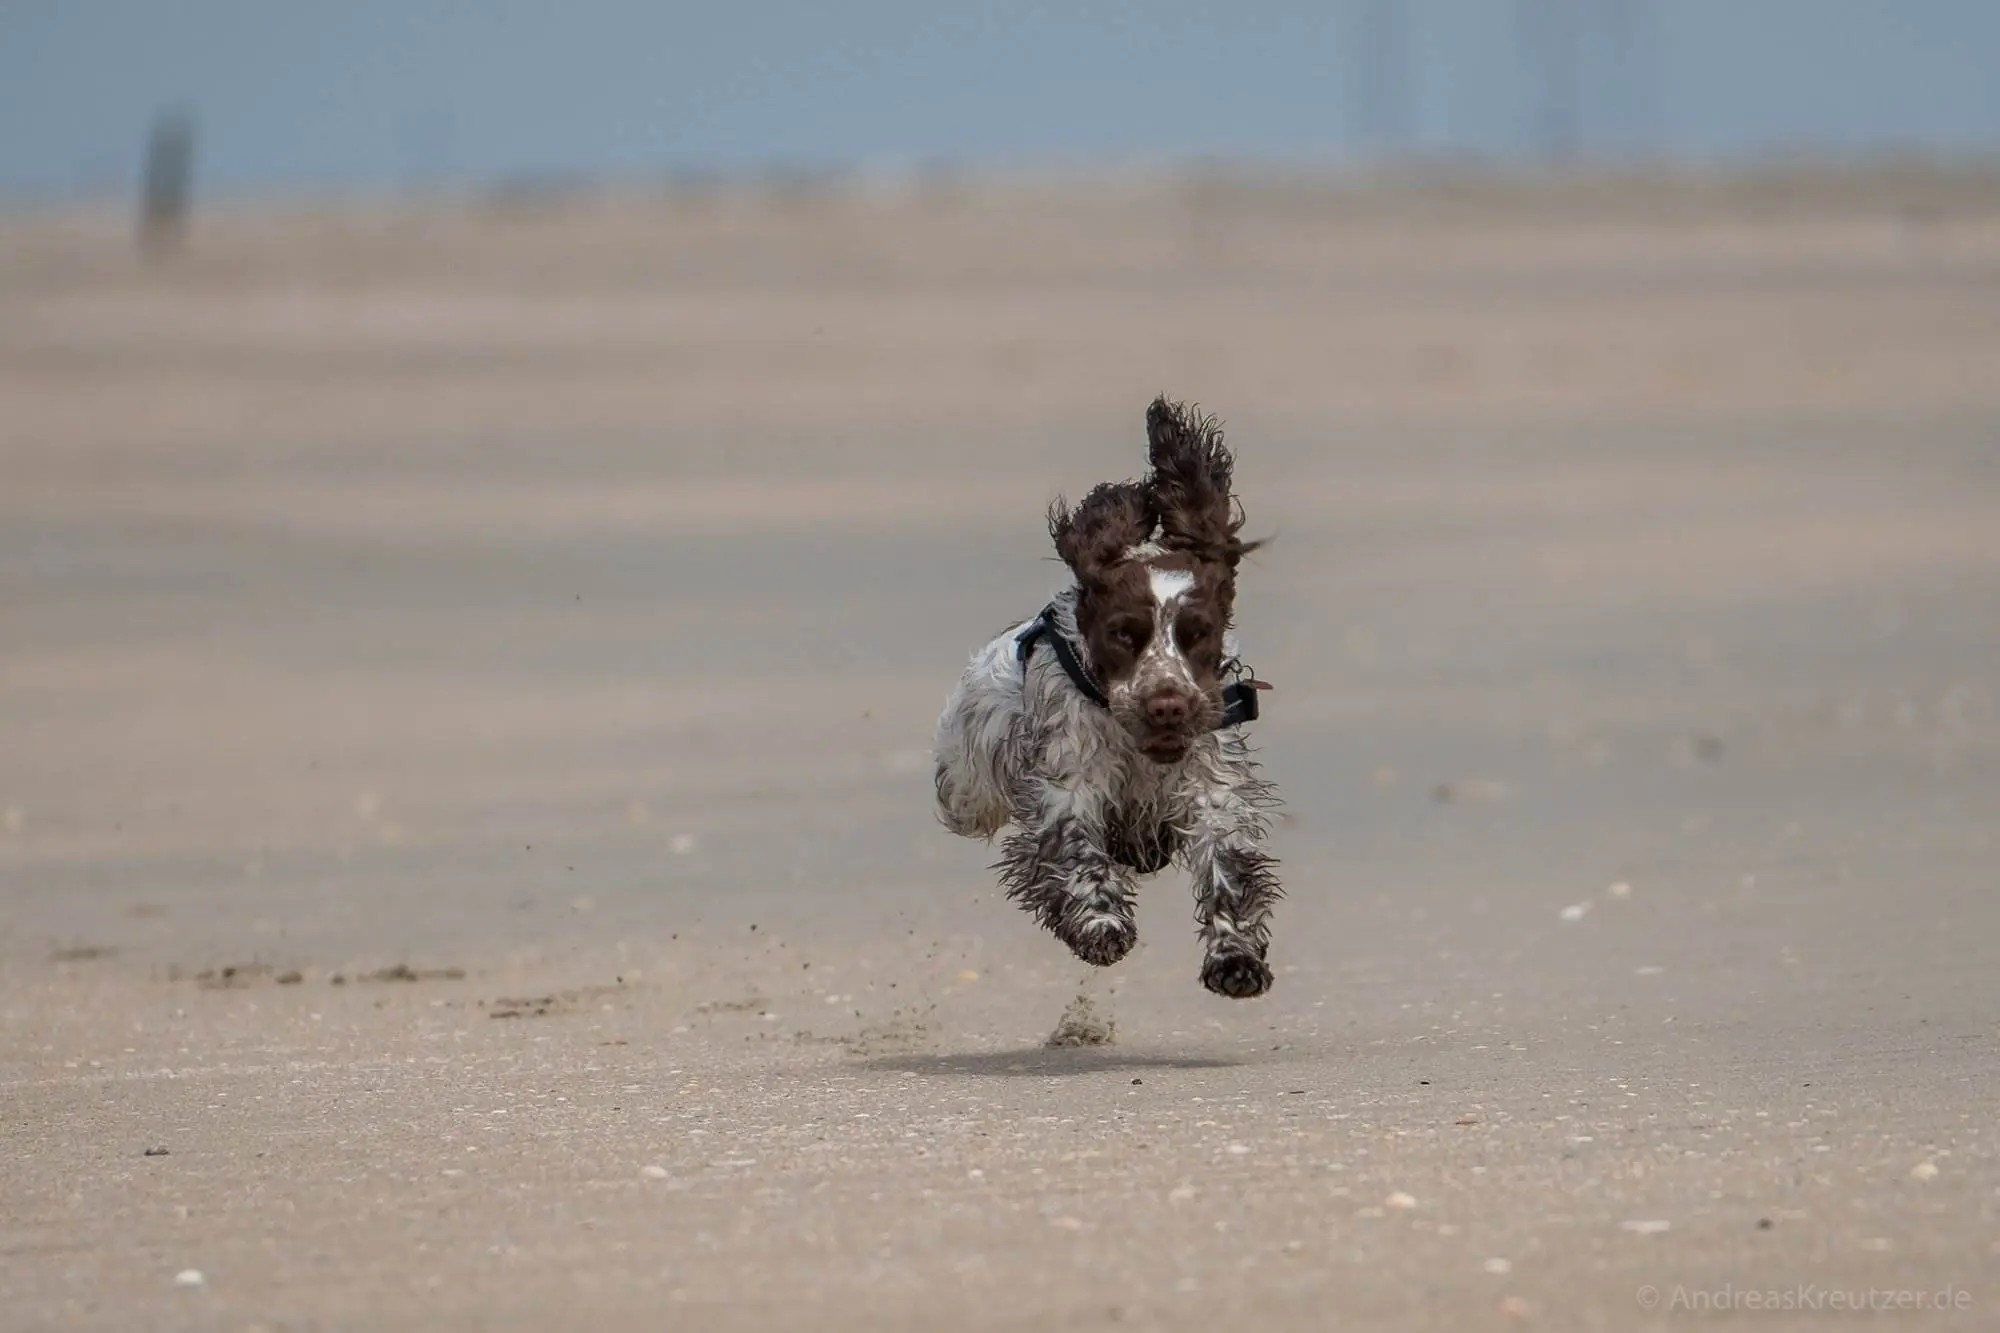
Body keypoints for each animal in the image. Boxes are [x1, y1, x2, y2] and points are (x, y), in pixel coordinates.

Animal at [932, 397, 1281, 998]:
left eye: (1198, 634)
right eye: (1122, 634)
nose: (1167, 704)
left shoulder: (1213, 787)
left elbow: (1226, 867)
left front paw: (1234, 957)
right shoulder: (1065, 786)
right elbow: (1077, 855)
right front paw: (1100, 925)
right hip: (968, 783)